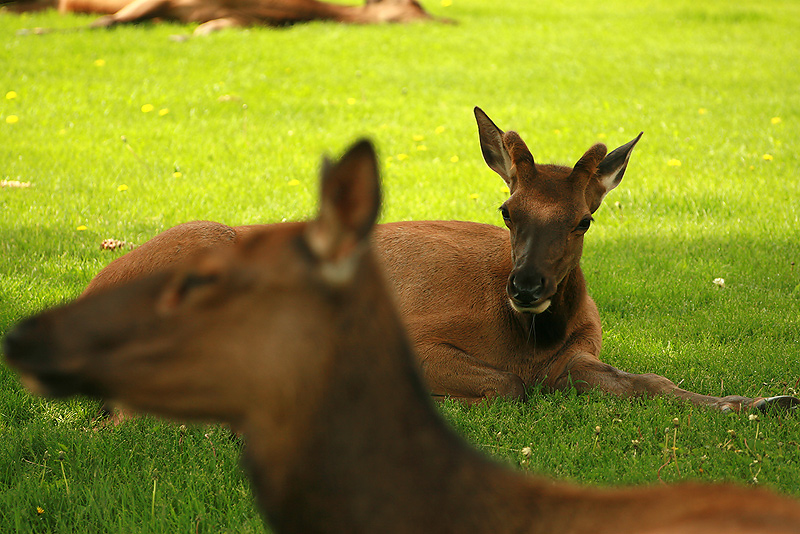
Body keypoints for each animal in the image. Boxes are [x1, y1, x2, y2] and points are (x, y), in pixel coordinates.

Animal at [4, 139, 800, 534]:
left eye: (583, 219)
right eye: (507, 210)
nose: (526, 287)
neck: (533, 339)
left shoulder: (581, 359)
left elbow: (657, 384)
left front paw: (767, 401)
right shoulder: (424, 337)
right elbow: (506, 389)